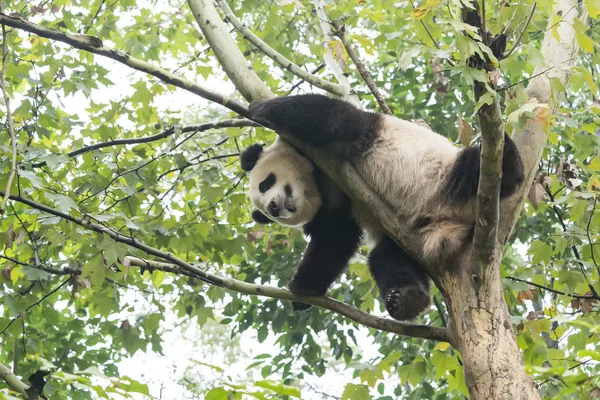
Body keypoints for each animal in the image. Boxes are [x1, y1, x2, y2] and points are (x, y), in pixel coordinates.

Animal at [239, 92, 524, 320]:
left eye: (265, 183)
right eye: (265, 212)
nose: (274, 207)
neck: (316, 181)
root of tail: (448, 224)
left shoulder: (335, 152)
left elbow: (332, 118)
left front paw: (259, 107)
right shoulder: (339, 198)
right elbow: (335, 237)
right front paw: (303, 288)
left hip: (449, 177)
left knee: (477, 167)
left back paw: (507, 157)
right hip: (407, 238)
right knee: (387, 259)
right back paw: (406, 300)